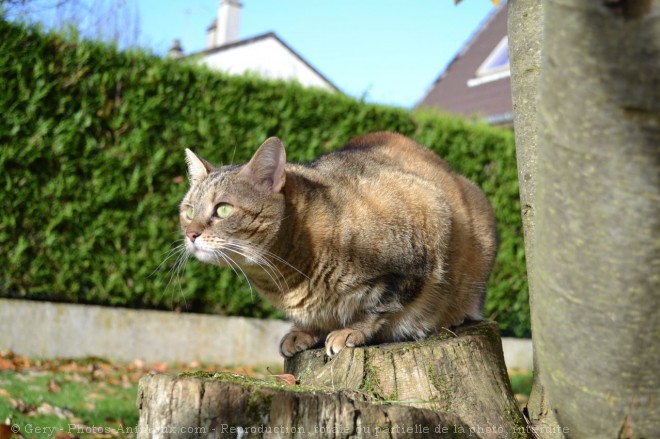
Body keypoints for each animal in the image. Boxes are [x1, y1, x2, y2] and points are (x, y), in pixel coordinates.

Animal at [178, 132, 498, 360]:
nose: (191, 234)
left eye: (223, 209)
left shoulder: (426, 227)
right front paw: (304, 332)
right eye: (189, 210)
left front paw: (350, 331)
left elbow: (381, 304)